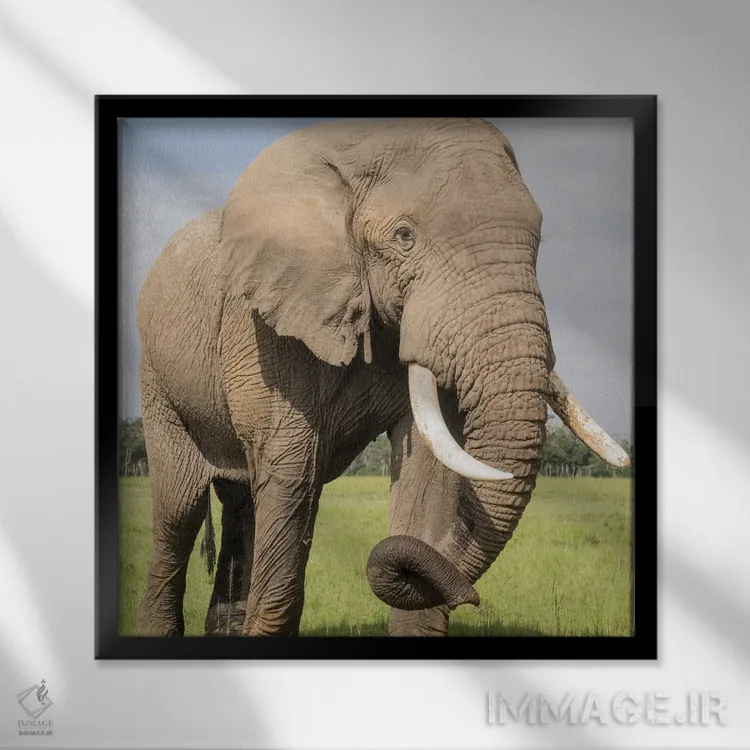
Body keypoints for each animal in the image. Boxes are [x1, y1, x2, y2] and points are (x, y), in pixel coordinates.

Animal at [135, 117, 628, 638]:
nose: (472, 599)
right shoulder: (265, 328)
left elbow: (428, 476)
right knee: (180, 509)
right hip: (157, 377)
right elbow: (291, 470)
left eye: (537, 240)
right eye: (404, 236)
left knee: (242, 501)